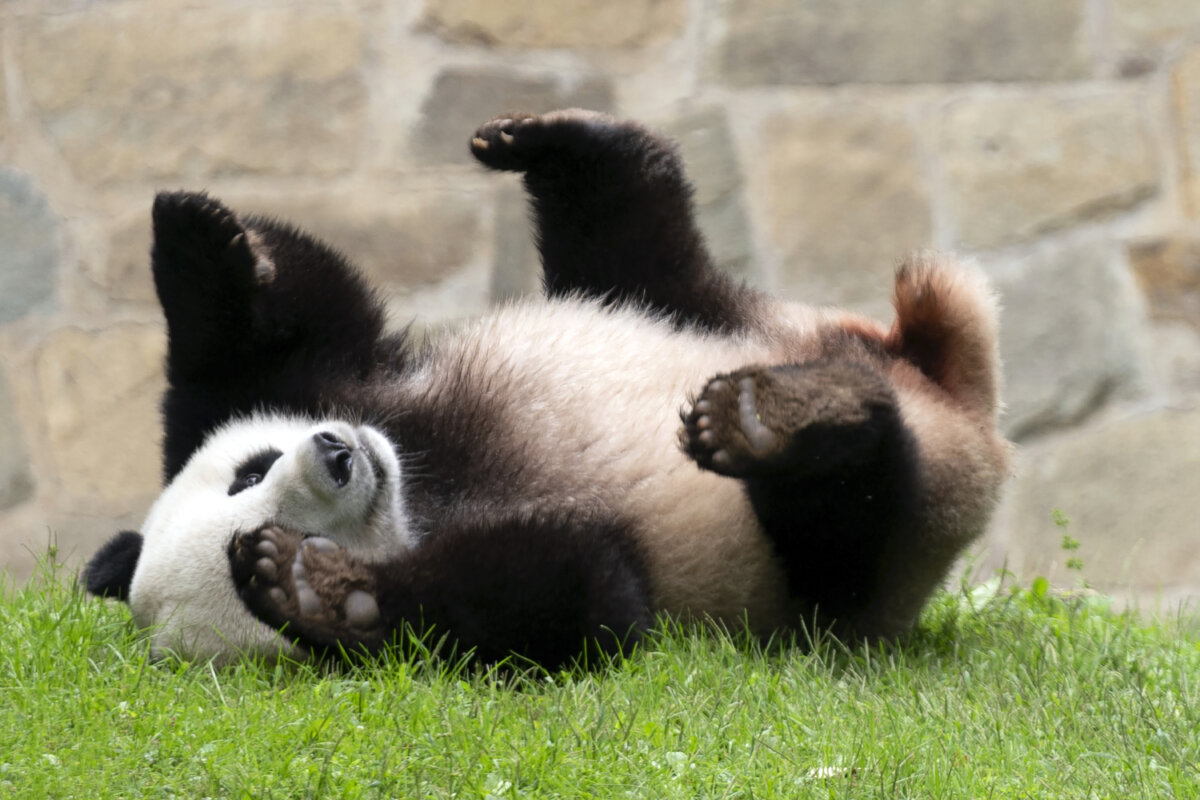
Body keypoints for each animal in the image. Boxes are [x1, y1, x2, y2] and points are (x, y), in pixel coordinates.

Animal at [82, 107, 1012, 671]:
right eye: (269, 509)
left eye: (249, 471)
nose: (338, 455)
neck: (424, 484)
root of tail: (953, 397)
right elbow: (580, 599)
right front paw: (318, 590)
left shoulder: (346, 385)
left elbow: (285, 333)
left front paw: (197, 238)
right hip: (855, 568)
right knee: (850, 519)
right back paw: (782, 423)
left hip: (721, 315)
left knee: (639, 246)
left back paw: (559, 144)